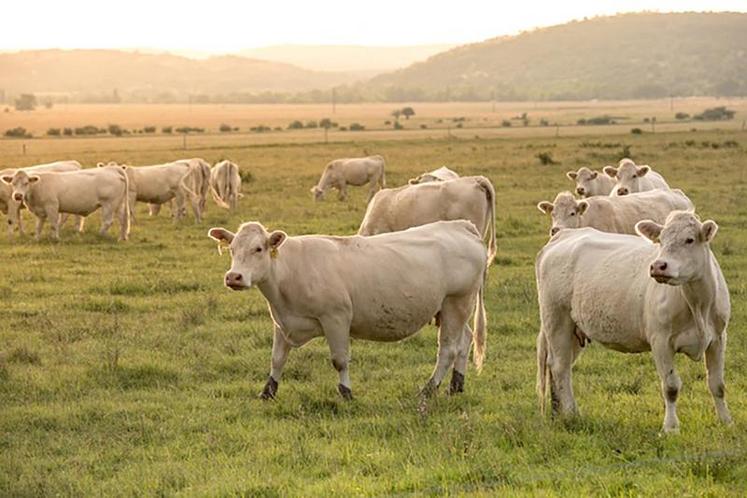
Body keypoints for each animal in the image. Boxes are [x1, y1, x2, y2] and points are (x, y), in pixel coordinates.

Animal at [1, 165, 130, 241]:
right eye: (12, 183)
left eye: (26, 183)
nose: (18, 196)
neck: (38, 186)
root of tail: (113, 169)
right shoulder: (40, 211)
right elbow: (38, 226)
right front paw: (36, 239)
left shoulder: (52, 207)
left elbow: (53, 224)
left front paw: (55, 238)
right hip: (119, 205)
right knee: (123, 220)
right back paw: (122, 238)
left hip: (109, 205)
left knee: (108, 221)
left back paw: (99, 235)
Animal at [209, 221, 490, 400]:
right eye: (232, 249)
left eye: (258, 249)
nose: (234, 277)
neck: (290, 270)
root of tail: (460, 226)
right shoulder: (282, 322)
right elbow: (277, 359)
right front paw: (268, 391)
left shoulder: (336, 318)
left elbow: (339, 360)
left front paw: (346, 392)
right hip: (452, 309)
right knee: (464, 341)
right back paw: (456, 386)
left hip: (456, 302)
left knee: (448, 349)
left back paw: (428, 390)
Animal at [536, 212, 736, 434]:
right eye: (661, 240)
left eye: (690, 239)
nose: (658, 266)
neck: (698, 304)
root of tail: (563, 235)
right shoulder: (661, 341)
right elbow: (671, 387)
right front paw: (670, 427)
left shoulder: (718, 338)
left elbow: (717, 384)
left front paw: (726, 421)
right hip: (556, 319)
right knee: (560, 366)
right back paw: (572, 413)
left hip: (574, 329)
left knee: (560, 366)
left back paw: (558, 412)